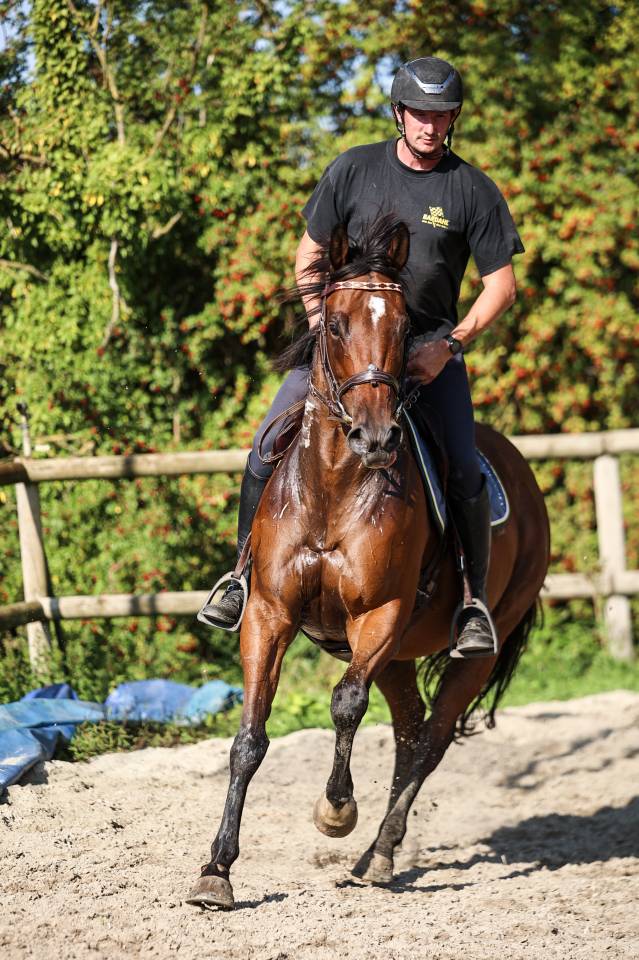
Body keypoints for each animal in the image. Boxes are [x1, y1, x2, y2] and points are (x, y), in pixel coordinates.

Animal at [187, 216, 550, 909]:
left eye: (407, 329)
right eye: (334, 324)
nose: (376, 437)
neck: (334, 483)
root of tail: (522, 472)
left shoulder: (379, 615)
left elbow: (345, 703)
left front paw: (336, 812)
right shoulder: (268, 613)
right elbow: (249, 738)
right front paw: (216, 870)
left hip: (465, 650)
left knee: (430, 741)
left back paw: (378, 852)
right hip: (401, 657)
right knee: (409, 731)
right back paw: (374, 858)